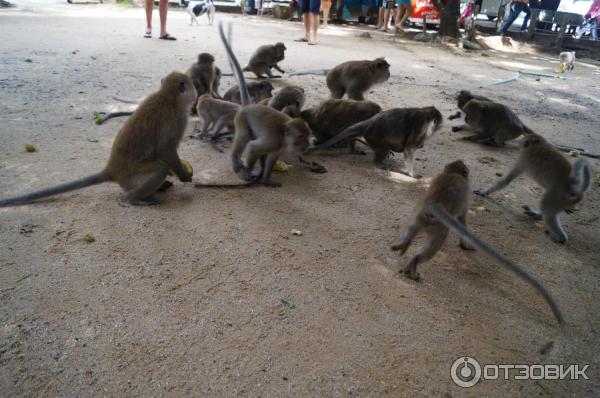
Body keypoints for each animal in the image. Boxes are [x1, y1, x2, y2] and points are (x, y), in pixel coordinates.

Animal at [0, 72, 197, 208]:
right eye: (191, 86)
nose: (195, 94)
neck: (167, 96)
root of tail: (112, 170)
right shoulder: (178, 119)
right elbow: (166, 149)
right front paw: (183, 175)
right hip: (130, 176)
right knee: (159, 168)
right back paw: (134, 198)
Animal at [304, 105, 440, 177]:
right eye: (436, 123)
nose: (436, 126)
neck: (425, 115)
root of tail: (370, 122)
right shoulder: (419, 125)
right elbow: (409, 149)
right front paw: (412, 174)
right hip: (375, 136)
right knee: (383, 149)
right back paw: (379, 162)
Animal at [392, 160, 564, 324]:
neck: (453, 173)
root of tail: (433, 207)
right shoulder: (466, 195)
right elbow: (462, 219)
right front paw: (465, 245)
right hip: (438, 228)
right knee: (436, 244)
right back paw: (415, 262)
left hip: (420, 217)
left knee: (412, 229)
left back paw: (404, 247)